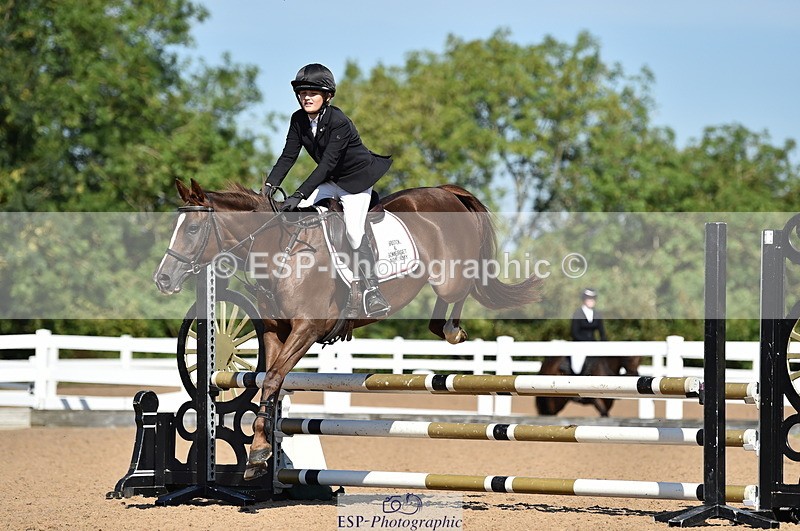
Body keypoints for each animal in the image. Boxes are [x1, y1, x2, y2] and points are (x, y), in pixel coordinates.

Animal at [154, 179, 542, 480]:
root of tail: (447, 192)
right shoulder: (275, 332)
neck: (281, 250)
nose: (163, 280)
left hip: (450, 278)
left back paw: (453, 331)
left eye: (192, 229)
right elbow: (270, 383)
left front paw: (259, 452)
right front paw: (260, 455)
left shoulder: (307, 329)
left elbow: (273, 378)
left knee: (464, 286)